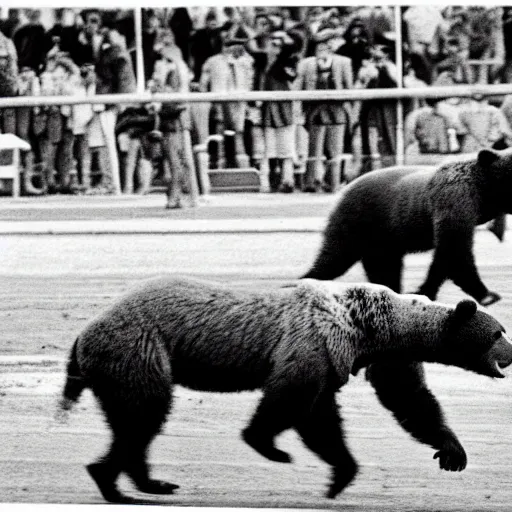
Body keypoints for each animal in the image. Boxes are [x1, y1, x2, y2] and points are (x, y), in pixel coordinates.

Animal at [57, 276, 512, 504]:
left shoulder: (361, 359)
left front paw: (451, 453)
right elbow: (292, 399)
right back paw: (123, 484)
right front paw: (274, 448)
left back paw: (140, 483)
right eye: (498, 333)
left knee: (133, 424)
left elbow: (401, 401)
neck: (373, 329)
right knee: (145, 413)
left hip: (123, 365)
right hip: (139, 350)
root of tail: (80, 336)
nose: (510, 353)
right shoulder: (316, 343)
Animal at [304, 148, 512, 308]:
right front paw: (488, 295)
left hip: (382, 237)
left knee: (384, 268)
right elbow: (455, 248)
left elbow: (443, 256)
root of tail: (343, 190)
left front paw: (425, 291)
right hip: (359, 221)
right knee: (334, 258)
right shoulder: (455, 198)